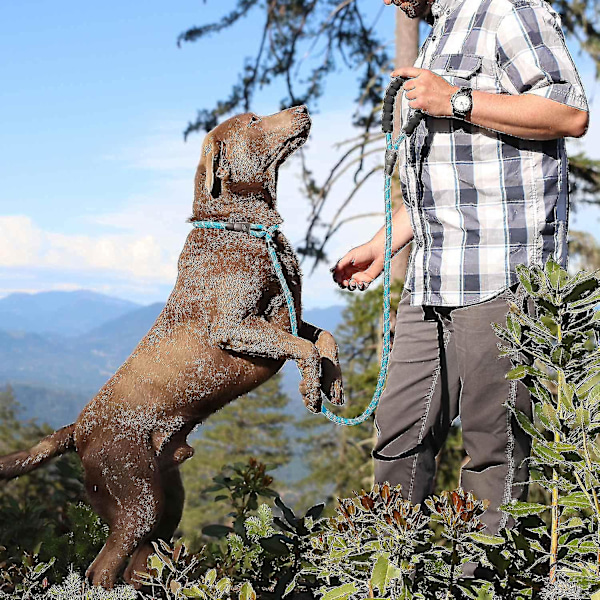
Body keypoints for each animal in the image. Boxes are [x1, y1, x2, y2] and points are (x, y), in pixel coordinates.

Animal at [0, 105, 342, 588]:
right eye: (254, 120)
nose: (304, 108)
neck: (244, 227)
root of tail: (78, 429)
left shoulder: (288, 318)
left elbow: (323, 338)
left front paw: (334, 384)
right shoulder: (237, 326)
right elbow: (305, 348)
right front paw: (312, 389)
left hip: (165, 508)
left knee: (137, 568)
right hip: (137, 500)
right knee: (100, 571)